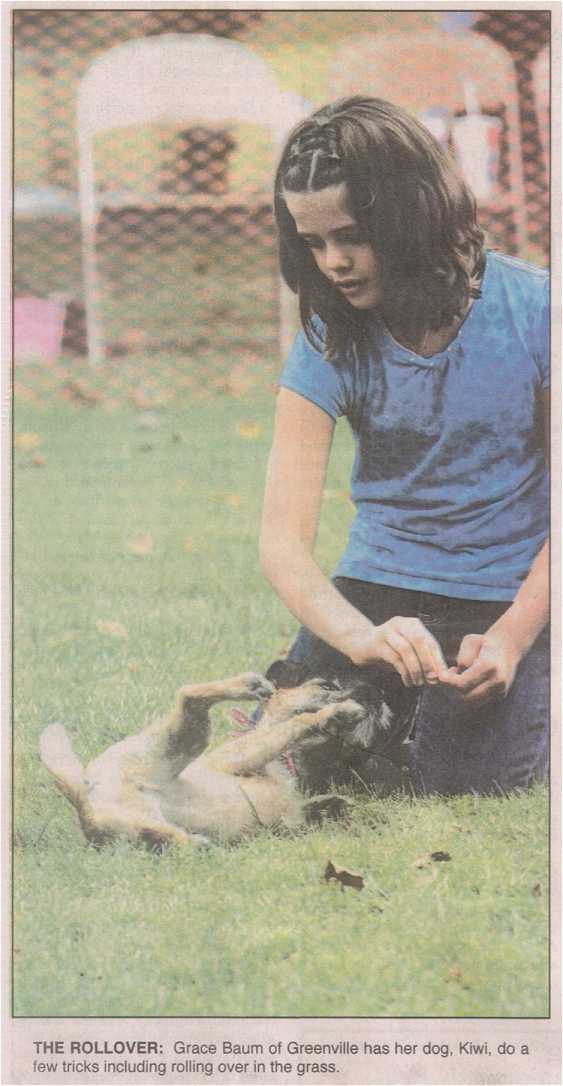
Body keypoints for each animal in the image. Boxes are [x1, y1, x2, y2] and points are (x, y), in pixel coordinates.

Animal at [38, 664, 397, 851]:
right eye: (326, 685)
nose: (376, 692)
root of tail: (84, 804)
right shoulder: (239, 757)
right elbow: (292, 725)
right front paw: (331, 715)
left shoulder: (291, 819)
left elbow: (313, 808)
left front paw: (341, 806)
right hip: (179, 742)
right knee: (188, 695)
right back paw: (246, 685)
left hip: (140, 827)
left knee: (163, 836)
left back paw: (196, 843)